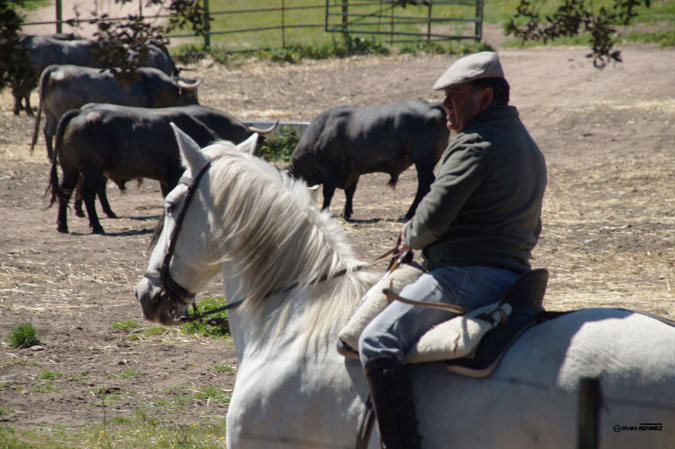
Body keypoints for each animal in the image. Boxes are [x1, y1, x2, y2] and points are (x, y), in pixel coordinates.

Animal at [12, 34, 177, 115]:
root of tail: (27, 40)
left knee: (18, 90)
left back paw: (20, 109)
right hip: (29, 75)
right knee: (22, 90)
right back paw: (24, 110)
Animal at [31, 64, 201, 159]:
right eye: (190, 95)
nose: (198, 106)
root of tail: (56, 68)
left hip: (50, 114)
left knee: (48, 132)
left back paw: (51, 156)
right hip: (59, 113)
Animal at [286, 101, 448, 220]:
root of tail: (432, 105)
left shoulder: (330, 171)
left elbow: (328, 193)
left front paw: (325, 212)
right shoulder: (353, 171)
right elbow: (350, 192)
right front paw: (347, 212)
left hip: (423, 162)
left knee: (424, 185)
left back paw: (409, 213)